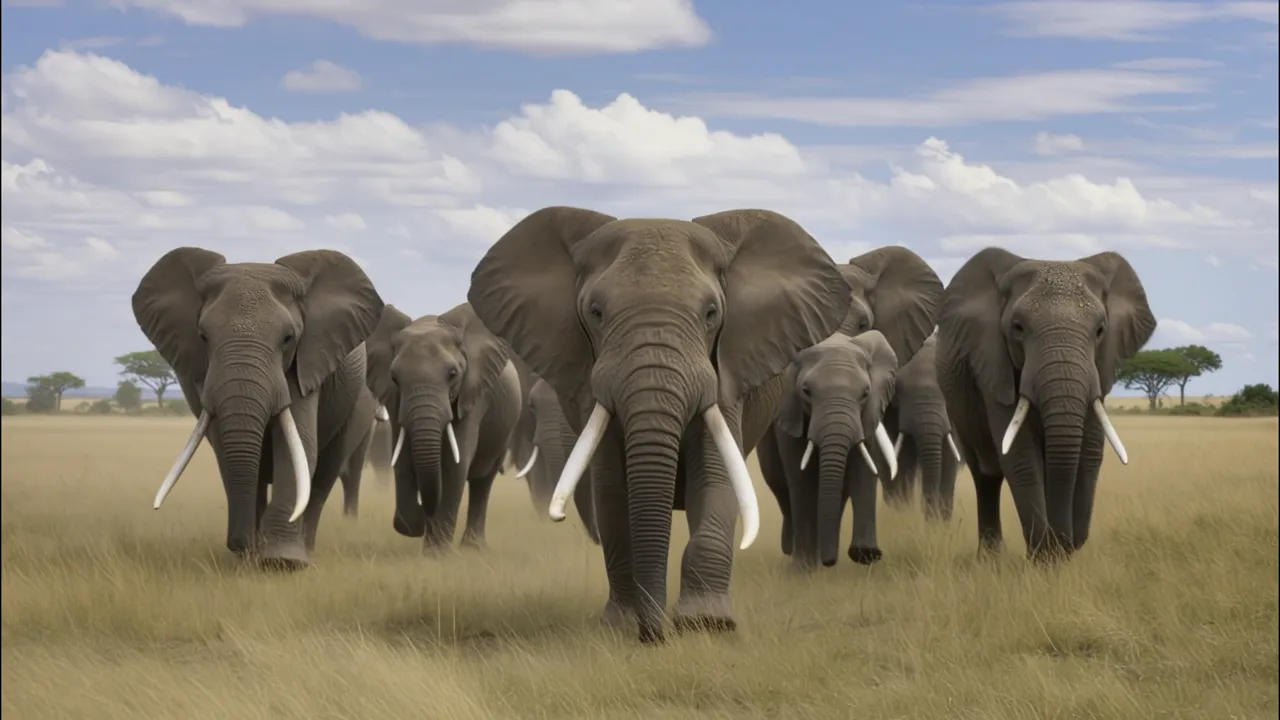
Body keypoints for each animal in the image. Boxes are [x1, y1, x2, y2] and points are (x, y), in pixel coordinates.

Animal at [132, 247, 384, 568]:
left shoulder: (306, 363)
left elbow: (299, 442)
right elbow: (225, 448)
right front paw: (250, 558)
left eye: (288, 338)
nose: (238, 543)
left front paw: (282, 563)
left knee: (324, 476)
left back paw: (305, 549)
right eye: (203, 337)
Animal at [364, 302, 522, 552]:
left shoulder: (473, 396)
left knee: (483, 482)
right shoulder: (395, 401)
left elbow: (454, 466)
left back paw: (473, 548)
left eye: (453, 375)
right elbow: (402, 460)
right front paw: (414, 525)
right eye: (394, 378)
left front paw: (436, 552)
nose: (424, 511)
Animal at [771, 330, 899, 569]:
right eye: (806, 392)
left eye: (865, 393)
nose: (829, 562)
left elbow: (864, 467)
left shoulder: (868, 414)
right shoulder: (790, 411)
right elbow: (801, 478)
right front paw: (804, 567)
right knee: (780, 487)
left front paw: (865, 554)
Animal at [879, 334, 965, 521]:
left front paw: (939, 525)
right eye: (899, 390)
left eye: (946, 390)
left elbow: (948, 458)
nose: (928, 518)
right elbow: (903, 462)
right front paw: (903, 516)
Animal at [935, 248, 1155, 559]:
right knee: (986, 475)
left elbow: (1089, 450)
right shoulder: (993, 367)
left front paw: (1061, 553)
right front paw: (1045, 556)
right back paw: (991, 558)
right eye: (1017, 328)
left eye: (1101, 330)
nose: (1066, 540)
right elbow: (1020, 455)